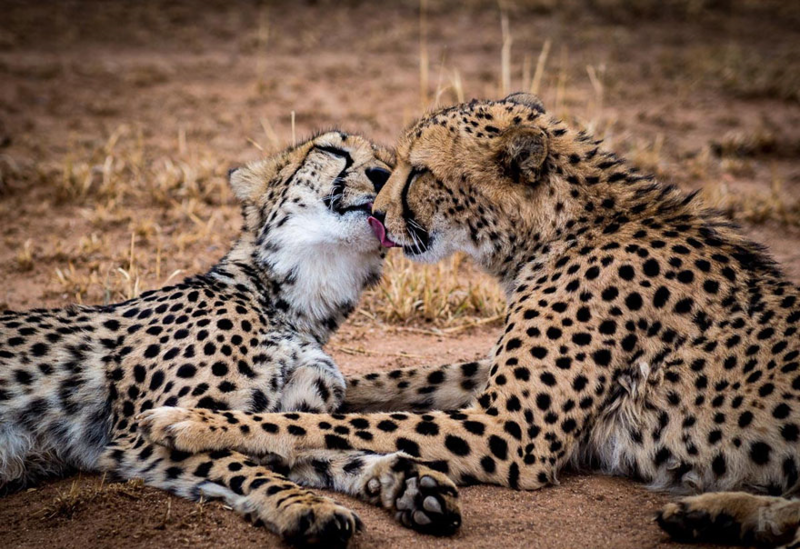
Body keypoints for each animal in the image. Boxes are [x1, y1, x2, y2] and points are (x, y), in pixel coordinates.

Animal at [0, 131, 488, 544]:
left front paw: (409, 483)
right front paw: (309, 506)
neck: (293, 304)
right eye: (332, 150)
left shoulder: (282, 413)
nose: (381, 176)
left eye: (393, 167)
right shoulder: (132, 435)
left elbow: (305, 442)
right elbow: (243, 463)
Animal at [142, 94, 800, 544]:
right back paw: (712, 515)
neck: (560, 229)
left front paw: (193, 420)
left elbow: (327, 425)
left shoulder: (510, 429)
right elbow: (389, 385)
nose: (378, 209)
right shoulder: (489, 385)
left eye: (417, 171)